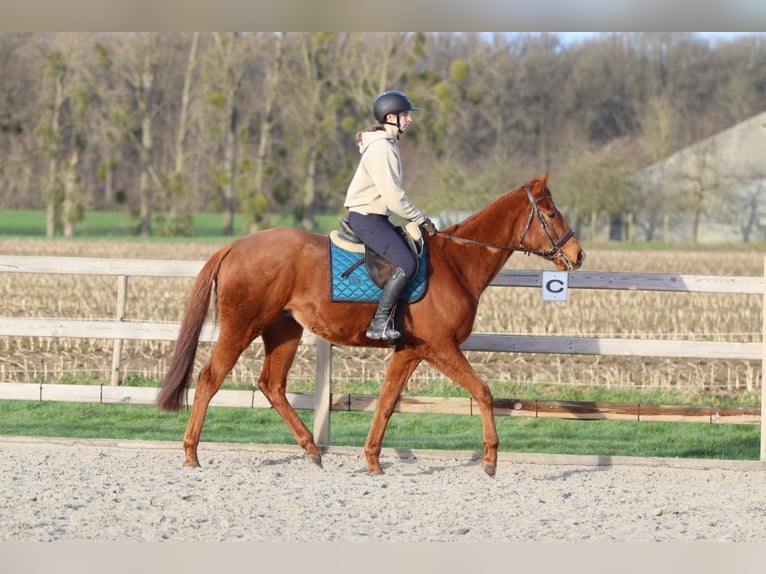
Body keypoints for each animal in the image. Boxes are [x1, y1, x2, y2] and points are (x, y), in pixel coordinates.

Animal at [156, 172, 585, 476]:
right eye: (550, 214)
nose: (578, 254)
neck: (457, 263)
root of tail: (235, 245)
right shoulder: (440, 346)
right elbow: (482, 391)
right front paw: (491, 459)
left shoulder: (411, 350)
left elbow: (387, 401)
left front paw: (373, 460)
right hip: (242, 326)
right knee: (210, 378)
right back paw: (191, 453)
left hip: (284, 330)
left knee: (271, 385)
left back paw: (311, 449)